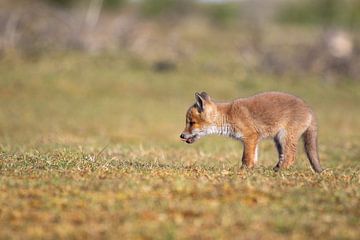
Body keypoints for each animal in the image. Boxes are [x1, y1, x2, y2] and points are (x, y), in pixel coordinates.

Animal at [180, 91, 324, 172]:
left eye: (191, 123)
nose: (181, 135)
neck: (229, 116)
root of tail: (309, 109)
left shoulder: (250, 137)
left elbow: (246, 158)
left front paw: (242, 172)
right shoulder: (254, 140)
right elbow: (253, 158)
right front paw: (251, 171)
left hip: (285, 137)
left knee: (290, 157)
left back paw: (279, 172)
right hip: (278, 141)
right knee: (284, 156)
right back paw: (275, 169)